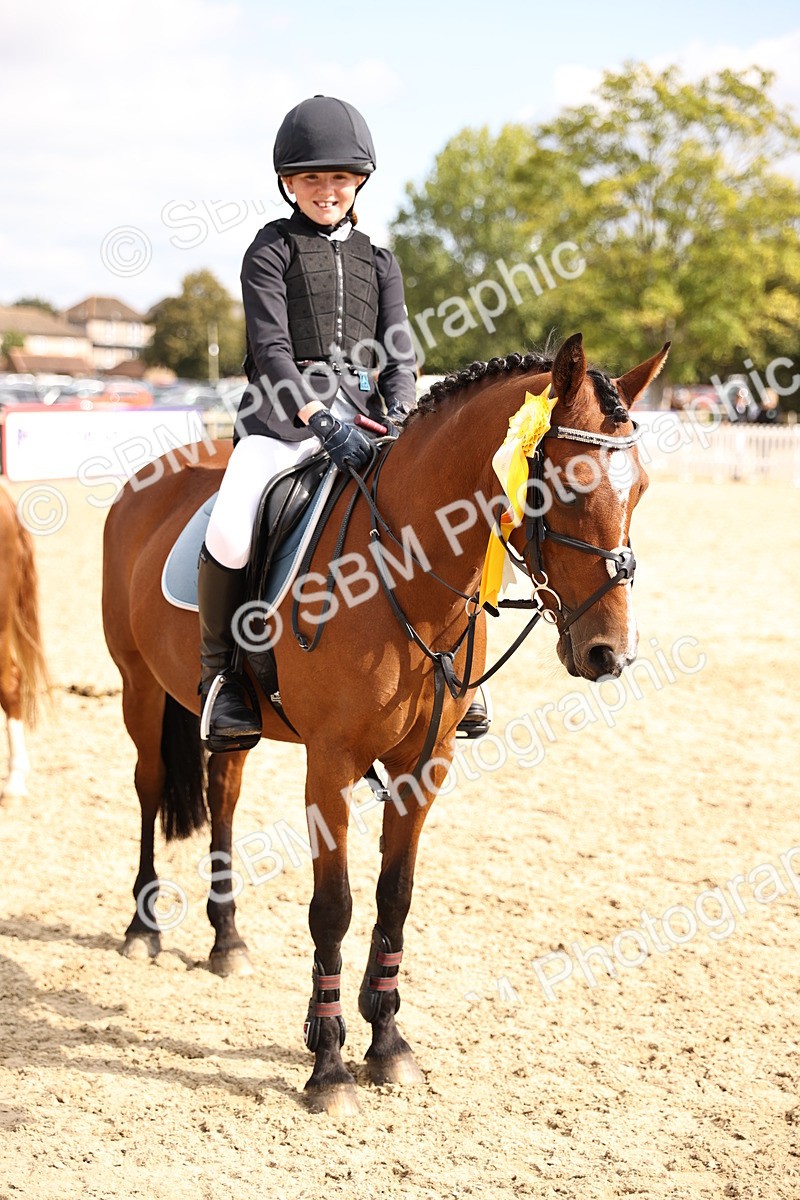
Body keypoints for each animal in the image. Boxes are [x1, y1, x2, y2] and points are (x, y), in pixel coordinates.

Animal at [102, 332, 669, 1116]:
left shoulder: (423, 764)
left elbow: (394, 895)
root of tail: (151, 477)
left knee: (223, 795)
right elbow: (333, 906)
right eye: (561, 486)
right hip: (139, 687)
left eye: (637, 489)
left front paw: (388, 1044)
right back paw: (143, 928)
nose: (610, 652)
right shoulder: (331, 764)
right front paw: (329, 1065)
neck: (409, 574)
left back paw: (228, 941)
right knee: (151, 787)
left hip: (231, 725)